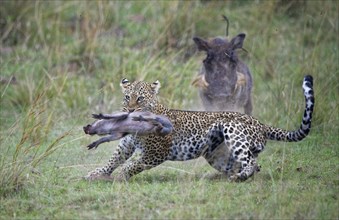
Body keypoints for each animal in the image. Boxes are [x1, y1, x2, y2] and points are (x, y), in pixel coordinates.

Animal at [85, 75, 316, 181]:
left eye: (140, 98)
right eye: (127, 97)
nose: (131, 110)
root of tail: (260, 123)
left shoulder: (157, 152)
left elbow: (132, 165)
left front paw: (120, 177)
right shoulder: (126, 144)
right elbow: (114, 159)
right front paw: (97, 173)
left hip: (233, 129)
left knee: (251, 162)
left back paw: (239, 178)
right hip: (216, 154)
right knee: (252, 164)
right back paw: (225, 177)